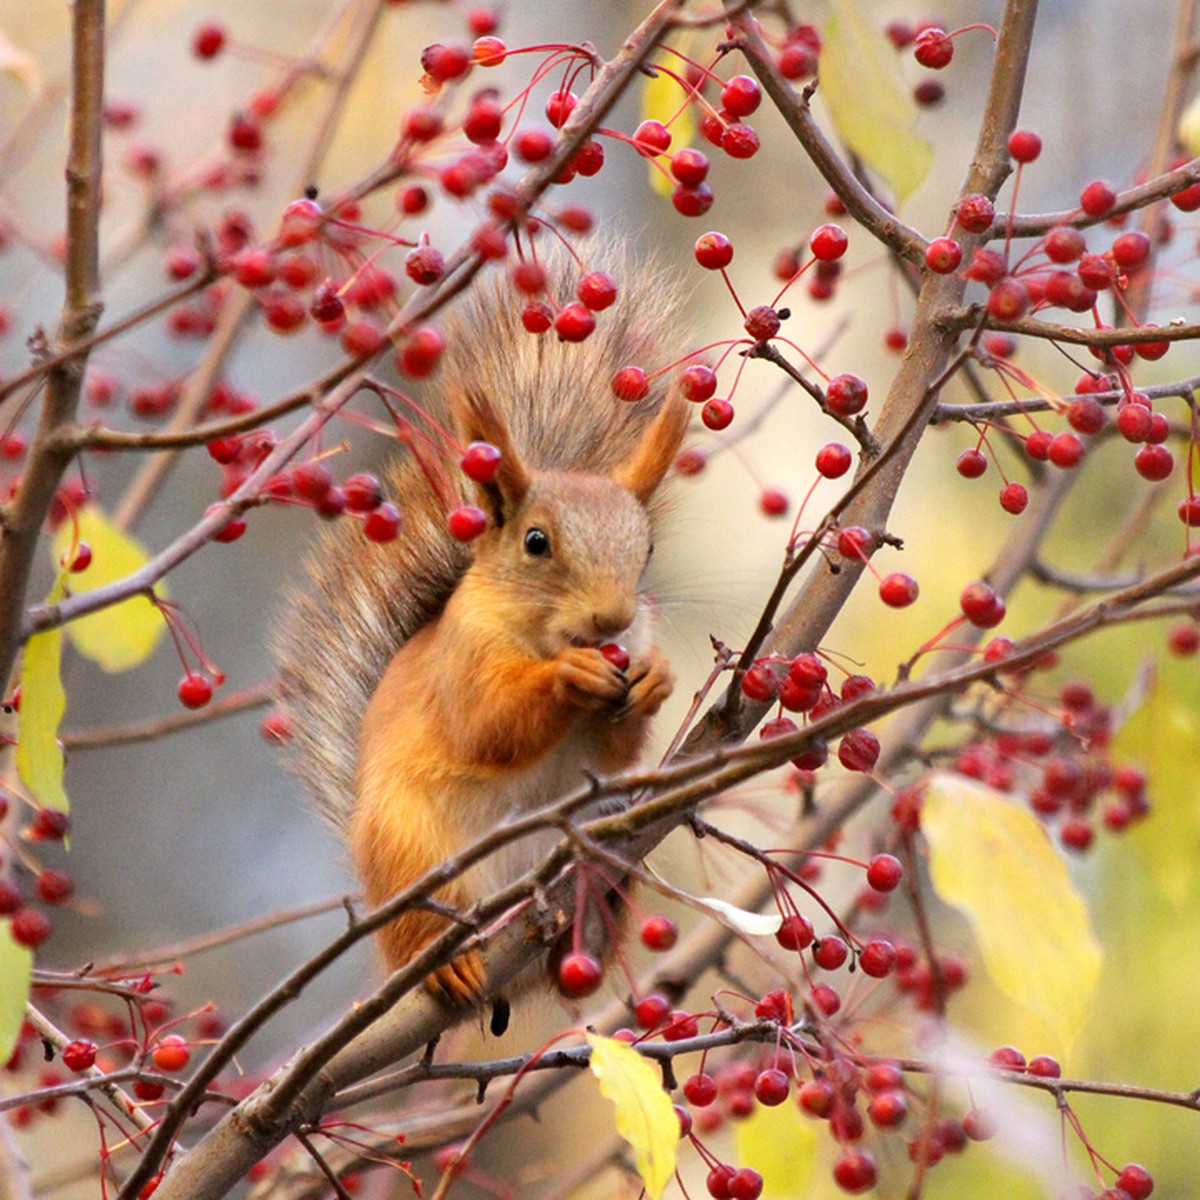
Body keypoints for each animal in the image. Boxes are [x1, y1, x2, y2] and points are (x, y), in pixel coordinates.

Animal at [273, 248, 686, 1017]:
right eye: (535, 542)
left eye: (646, 550)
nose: (613, 621)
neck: (539, 636)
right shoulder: (461, 662)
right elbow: (488, 727)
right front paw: (568, 679)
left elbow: (614, 751)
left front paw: (654, 679)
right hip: (409, 853)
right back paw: (448, 965)